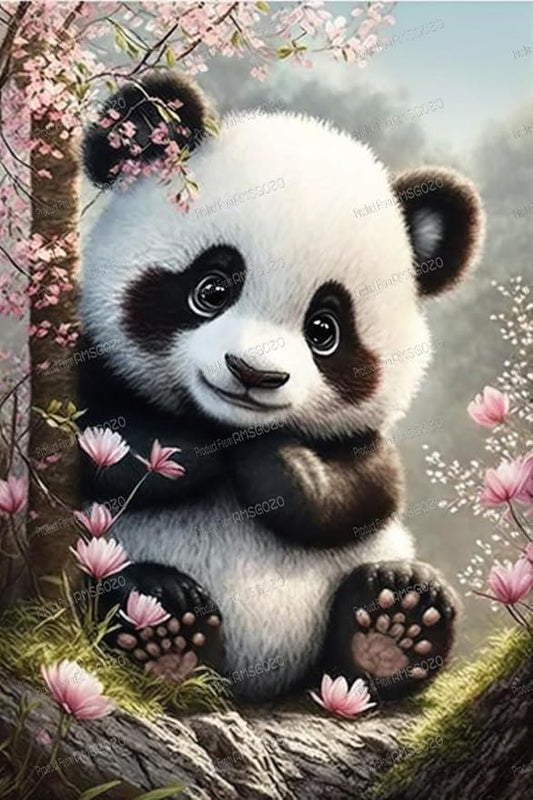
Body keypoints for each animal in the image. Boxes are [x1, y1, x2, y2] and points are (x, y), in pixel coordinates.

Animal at [79, 73, 484, 702]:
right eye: (212, 289)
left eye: (324, 330)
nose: (253, 374)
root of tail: (250, 682)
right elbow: (94, 444)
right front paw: (190, 450)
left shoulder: (361, 441)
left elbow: (367, 492)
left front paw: (269, 462)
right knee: (120, 591)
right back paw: (165, 630)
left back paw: (393, 628)